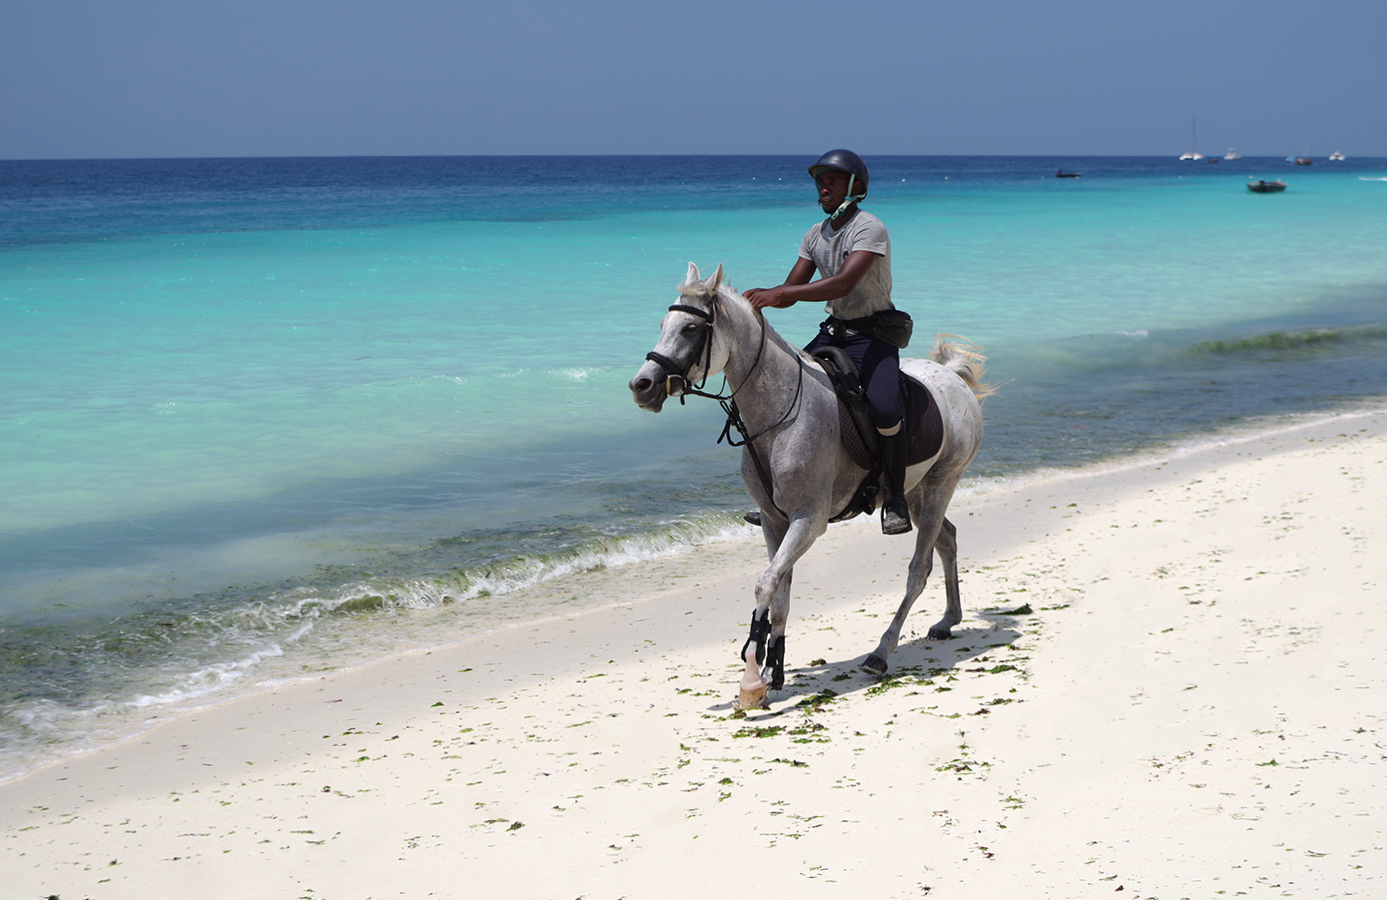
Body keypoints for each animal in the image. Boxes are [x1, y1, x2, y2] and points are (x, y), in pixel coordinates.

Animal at [629, 262, 987, 710]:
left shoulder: (808, 521)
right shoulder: (773, 521)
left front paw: (751, 679)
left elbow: (766, 583)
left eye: (691, 329)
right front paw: (773, 671)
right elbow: (780, 593)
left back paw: (880, 652)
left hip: (941, 482)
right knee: (948, 538)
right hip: (917, 493)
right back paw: (948, 620)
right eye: (664, 325)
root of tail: (952, 377)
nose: (641, 386)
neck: (779, 414)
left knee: (919, 570)